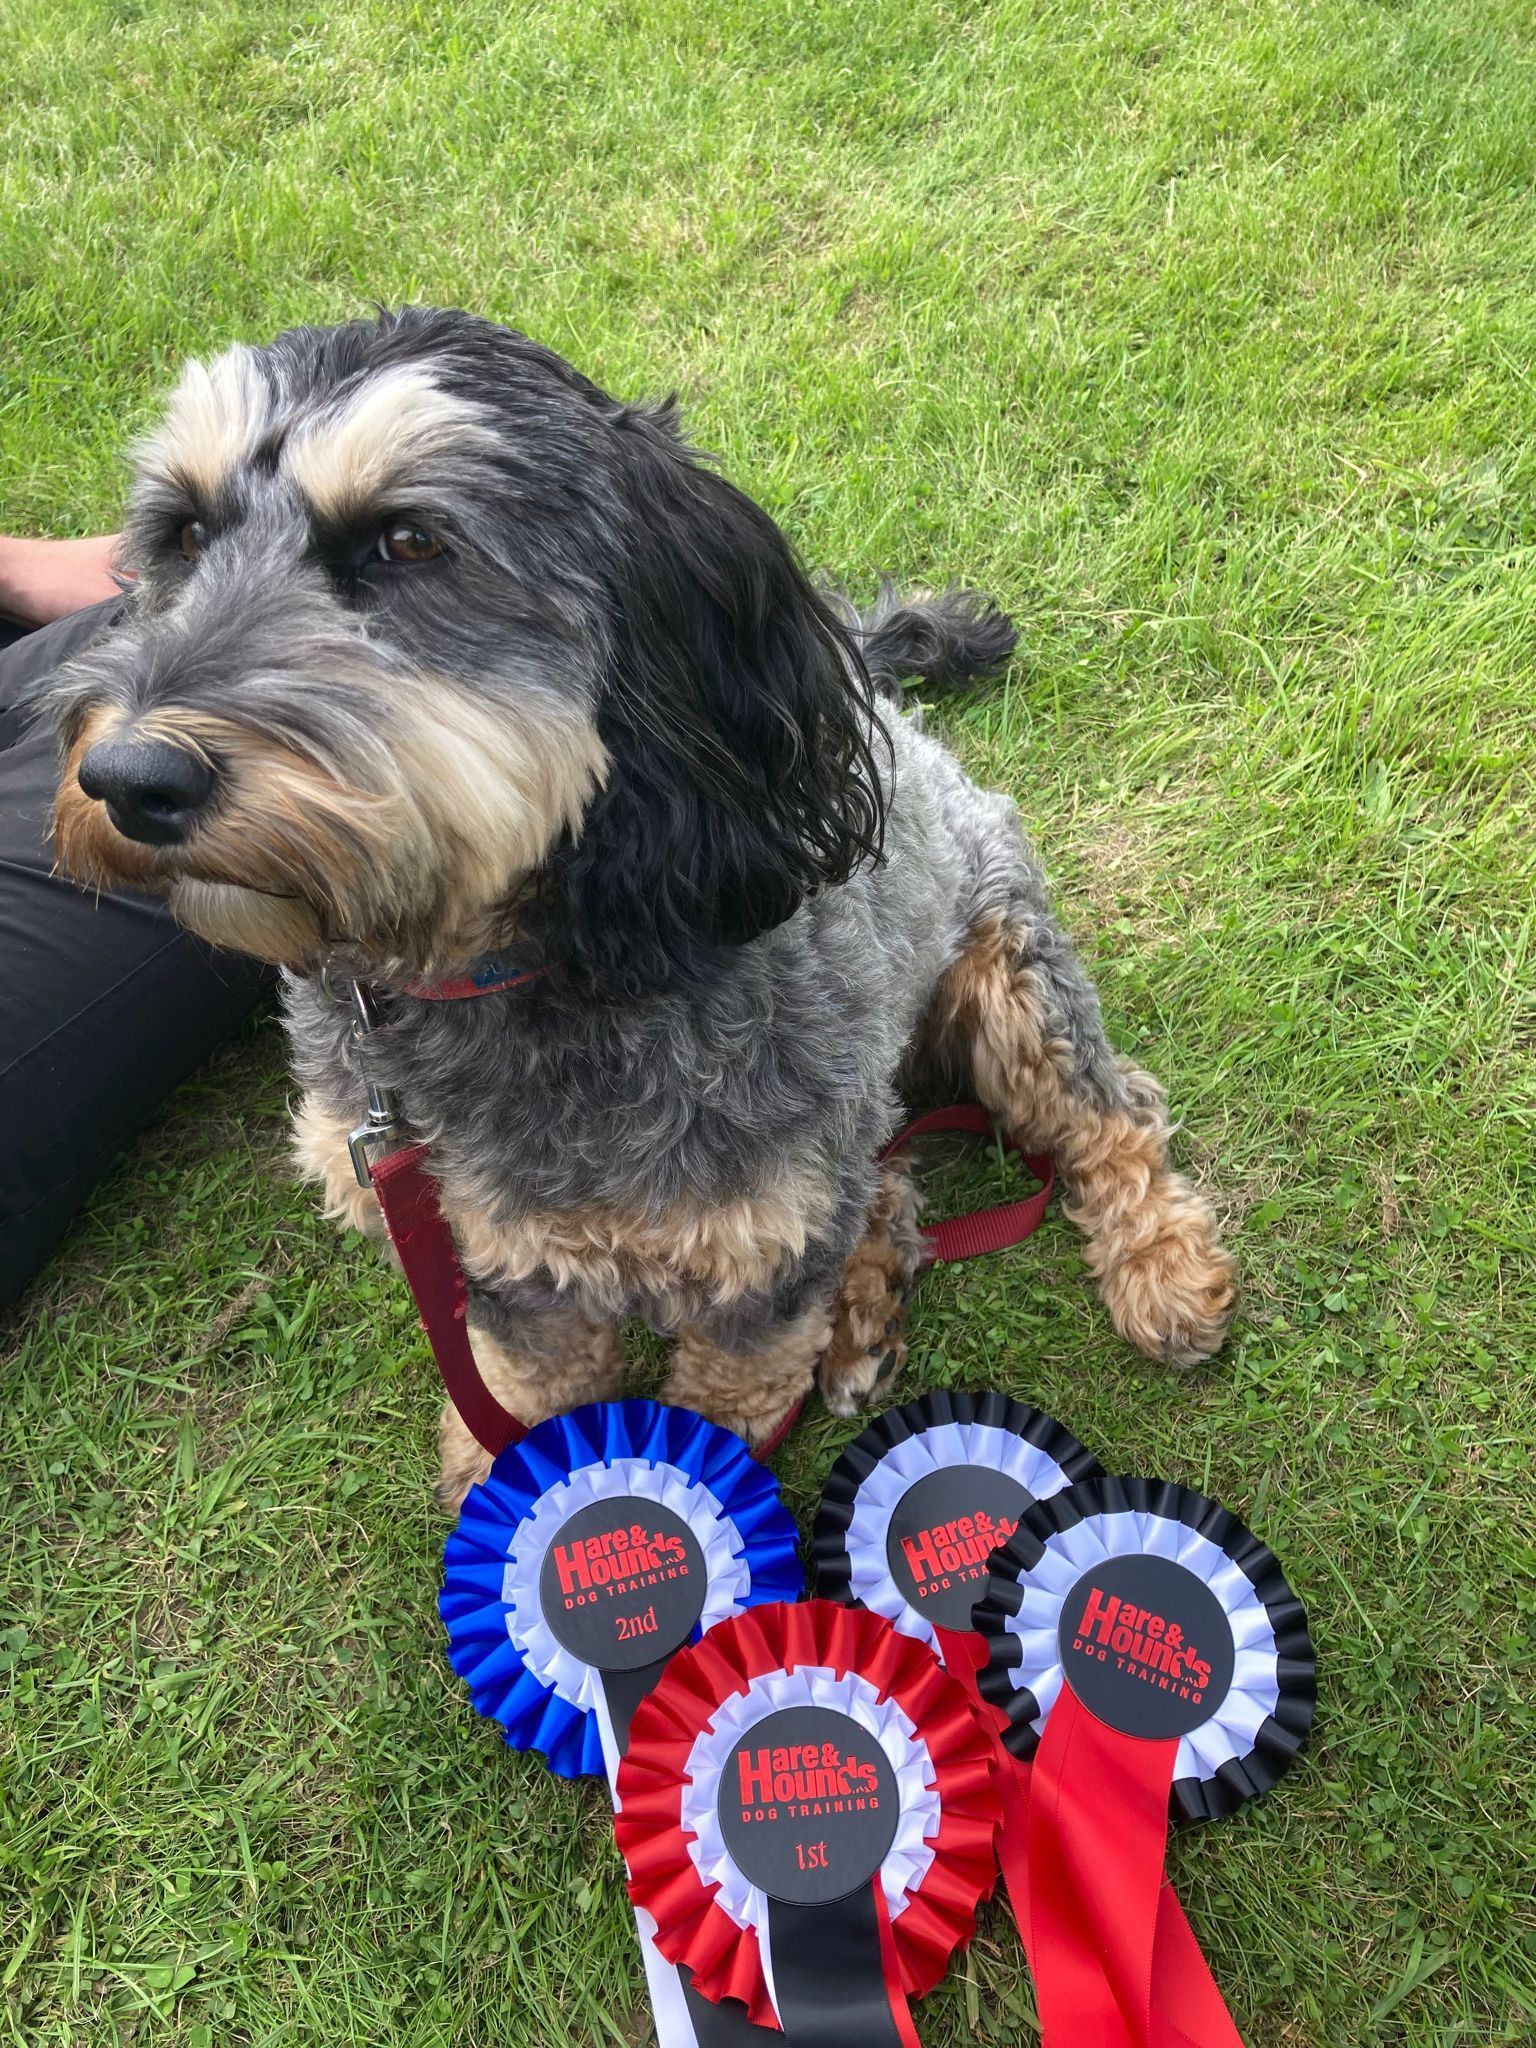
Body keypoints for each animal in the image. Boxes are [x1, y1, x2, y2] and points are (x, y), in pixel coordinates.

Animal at [40, 307, 1236, 1508]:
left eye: (410, 542)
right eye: (185, 532)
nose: (128, 779)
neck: (512, 968)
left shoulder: (759, 1258)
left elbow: (727, 1403)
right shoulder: (490, 1254)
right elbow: (530, 1377)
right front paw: (499, 1474)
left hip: (1011, 982)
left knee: (1108, 1115)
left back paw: (1159, 1268)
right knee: (888, 1180)